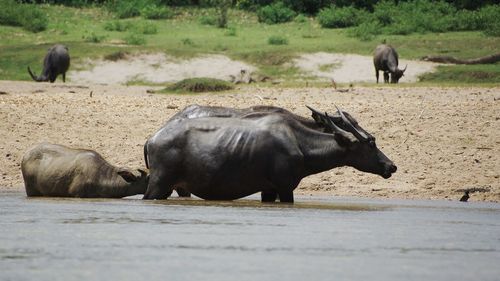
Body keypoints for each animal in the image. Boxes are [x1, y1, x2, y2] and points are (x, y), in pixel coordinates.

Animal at [143, 105, 396, 201]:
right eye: (371, 143)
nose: (391, 166)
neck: (299, 141)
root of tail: (152, 138)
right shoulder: (284, 188)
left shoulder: (269, 190)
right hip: (159, 185)